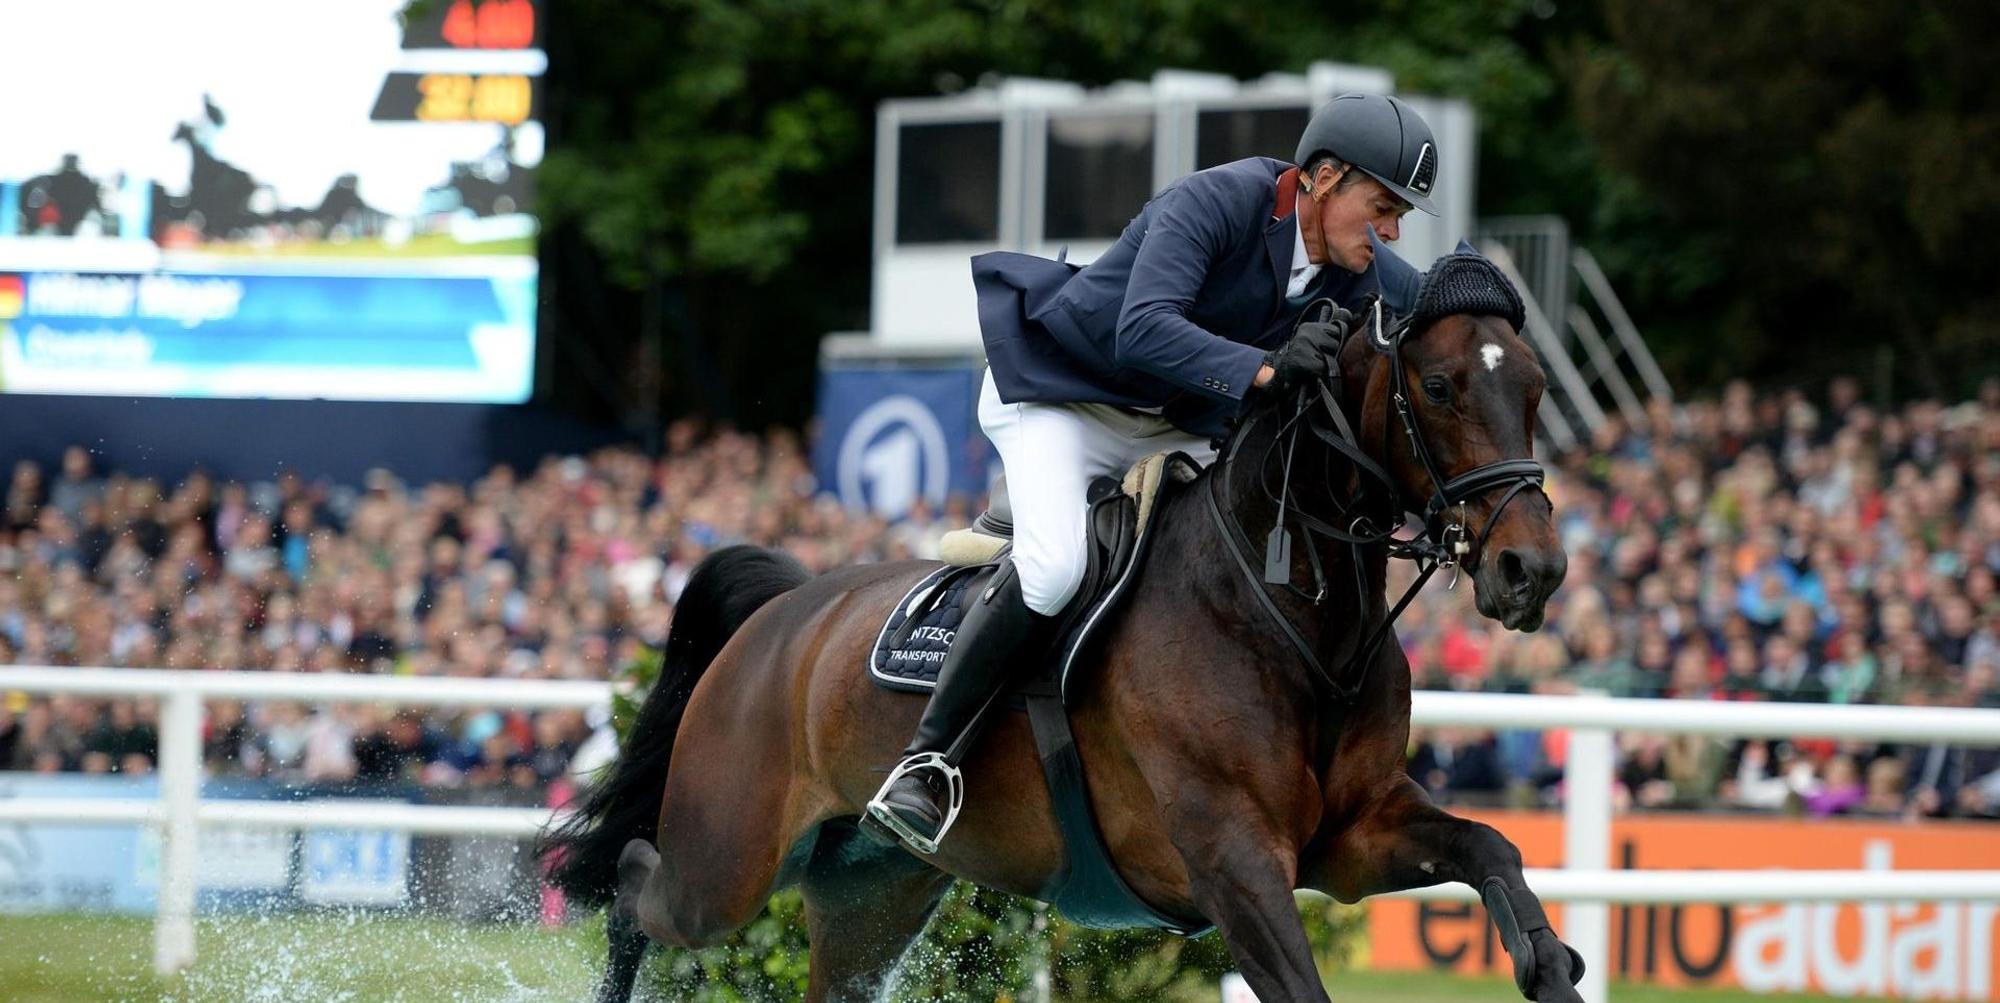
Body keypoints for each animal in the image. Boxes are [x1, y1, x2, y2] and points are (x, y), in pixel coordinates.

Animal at [541, 265, 1582, 1003]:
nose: (1531, 572)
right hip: (728, 860)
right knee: (635, 889)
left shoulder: (1350, 836)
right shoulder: (1234, 862)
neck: (1287, 610)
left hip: (870, 893)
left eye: (1536, 387)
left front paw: (1548, 963)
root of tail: (781, 614)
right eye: (1439, 385)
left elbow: (1493, 847)